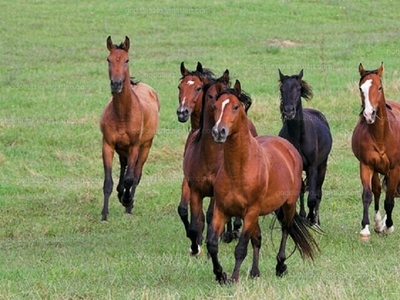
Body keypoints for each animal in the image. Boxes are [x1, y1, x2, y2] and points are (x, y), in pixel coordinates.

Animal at [99, 36, 160, 221]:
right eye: (109, 60)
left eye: (127, 60)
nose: (116, 84)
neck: (122, 114)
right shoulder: (108, 145)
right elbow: (108, 182)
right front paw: (104, 214)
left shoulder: (134, 146)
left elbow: (130, 179)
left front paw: (127, 201)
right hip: (122, 149)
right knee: (124, 168)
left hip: (145, 146)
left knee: (136, 174)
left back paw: (129, 204)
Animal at [180, 70, 258, 255]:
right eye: (210, 96)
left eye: (198, 88)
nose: (219, 130)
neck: (208, 155)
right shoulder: (194, 188)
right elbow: (196, 219)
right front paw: (196, 244)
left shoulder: (216, 193)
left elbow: (209, 217)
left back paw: (232, 231)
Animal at [208, 80, 320, 284]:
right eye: (215, 107)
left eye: (235, 107)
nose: (219, 131)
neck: (239, 170)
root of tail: (288, 147)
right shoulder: (222, 210)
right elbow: (212, 244)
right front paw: (221, 275)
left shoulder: (250, 212)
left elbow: (241, 248)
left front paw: (234, 277)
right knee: (258, 239)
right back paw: (255, 272)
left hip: (288, 205)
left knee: (285, 229)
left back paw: (280, 265)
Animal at [276, 69, 332, 225]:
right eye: (282, 89)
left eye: (298, 88)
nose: (289, 111)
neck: (298, 138)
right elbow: (299, 191)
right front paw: (302, 216)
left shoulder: (312, 167)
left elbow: (312, 198)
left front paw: (311, 218)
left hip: (322, 166)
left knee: (318, 192)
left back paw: (316, 220)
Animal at [352, 62, 400, 239]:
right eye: (361, 88)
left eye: (380, 87)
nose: (369, 114)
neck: (381, 136)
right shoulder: (367, 165)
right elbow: (368, 195)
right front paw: (365, 228)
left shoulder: (395, 169)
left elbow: (390, 200)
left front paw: (389, 226)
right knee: (378, 191)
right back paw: (379, 223)